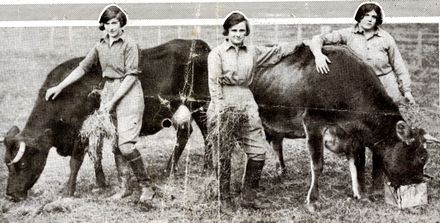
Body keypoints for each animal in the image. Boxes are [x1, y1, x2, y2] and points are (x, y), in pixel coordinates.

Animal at [2, 38, 211, 202]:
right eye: (7, 165)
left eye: (22, 164)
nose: (11, 195)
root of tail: (198, 44)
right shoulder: (97, 129)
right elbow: (96, 155)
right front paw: (101, 183)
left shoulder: (81, 130)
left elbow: (76, 161)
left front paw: (68, 191)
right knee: (184, 134)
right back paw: (169, 170)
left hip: (202, 105)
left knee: (207, 133)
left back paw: (206, 168)